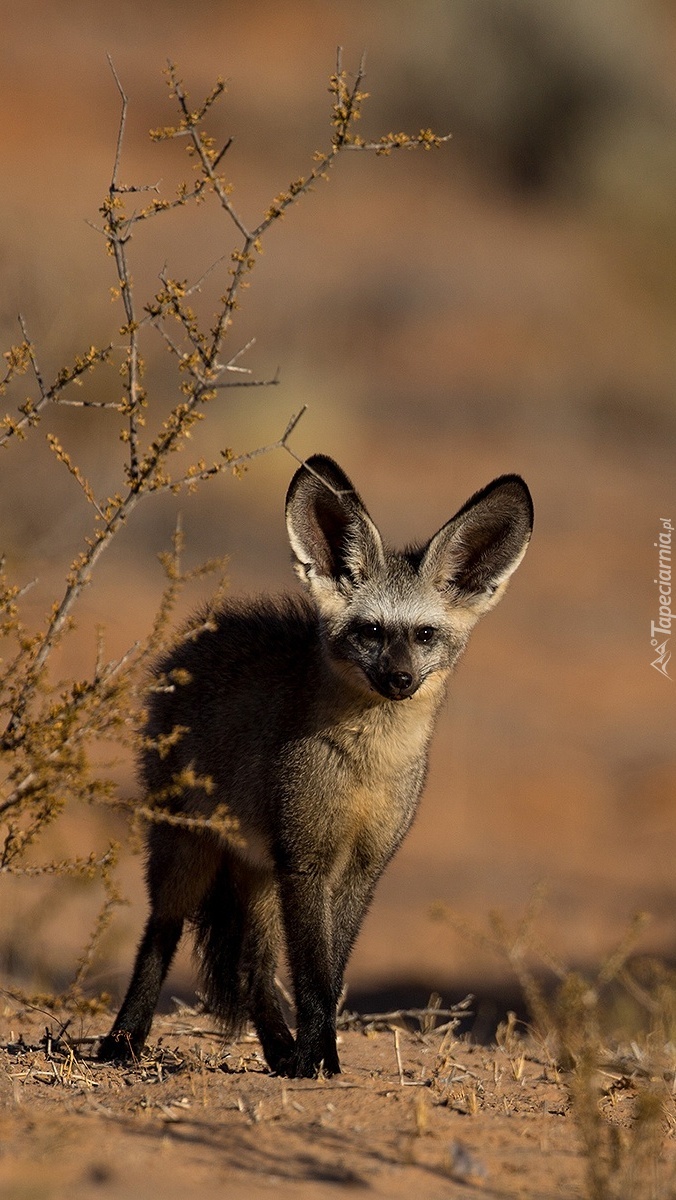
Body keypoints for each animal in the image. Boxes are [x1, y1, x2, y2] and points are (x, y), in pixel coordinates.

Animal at [100, 451, 535, 1080]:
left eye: (425, 634)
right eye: (371, 631)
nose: (400, 679)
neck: (365, 771)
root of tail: (198, 637)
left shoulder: (361, 869)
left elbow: (330, 975)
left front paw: (311, 1055)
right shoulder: (306, 862)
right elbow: (311, 975)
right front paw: (317, 1059)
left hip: (257, 871)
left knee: (253, 968)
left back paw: (278, 1050)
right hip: (188, 851)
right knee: (161, 933)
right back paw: (124, 1039)